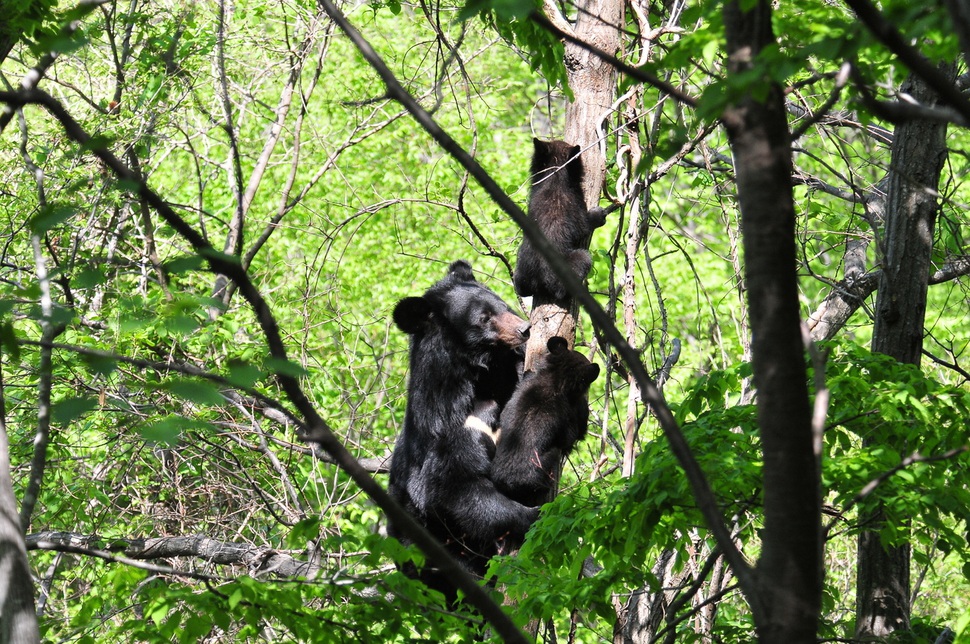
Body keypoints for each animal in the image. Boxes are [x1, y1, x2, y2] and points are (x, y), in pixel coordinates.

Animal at [386, 260, 536, 592]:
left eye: (502, 304)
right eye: (483, 318)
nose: (525, 329)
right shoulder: (448, 429)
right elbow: (456, 488)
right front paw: (532, 514)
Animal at [516, 138, 604, 302]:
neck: (554, 176)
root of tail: (537, 281)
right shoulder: (576, 205)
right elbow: (584, 226)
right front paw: (598, 215)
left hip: (521, 265)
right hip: (572, 264)